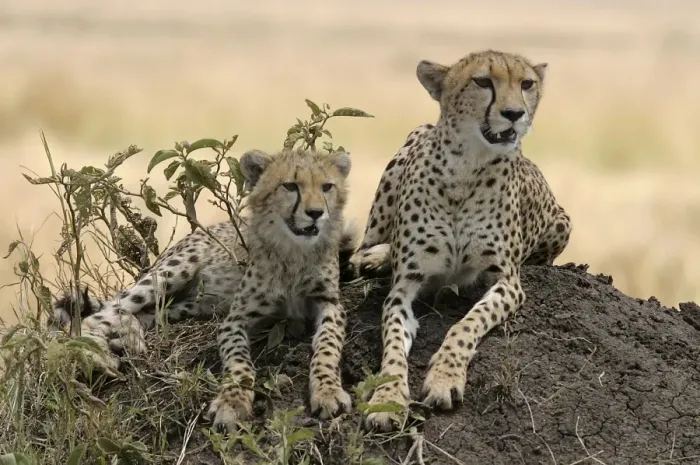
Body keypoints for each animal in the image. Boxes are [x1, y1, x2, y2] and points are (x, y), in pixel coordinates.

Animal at [50, 147, 358, 433]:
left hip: (191, 306)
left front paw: (328, 391)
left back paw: (129, 337)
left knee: (141, 315)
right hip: (171, 272)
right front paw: (232, 403)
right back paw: (98, 354)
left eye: (327, 186)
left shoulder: (329, 304)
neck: (295, 251)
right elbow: (238, 362)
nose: (316, 213)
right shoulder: (235, 319)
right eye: (291, 186)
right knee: (101, 314)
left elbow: (327, 346)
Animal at [348, 50, 572, 431]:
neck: (466, 166)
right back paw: (373, 256)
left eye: (526, 84)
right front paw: (387, 399)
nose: (514, 114)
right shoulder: (403, 289)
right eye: (482, 81)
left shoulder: (507, 281)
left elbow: (467, 324)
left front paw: (443, 378)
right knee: (371, 242)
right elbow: (392, 346)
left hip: (562, 223)